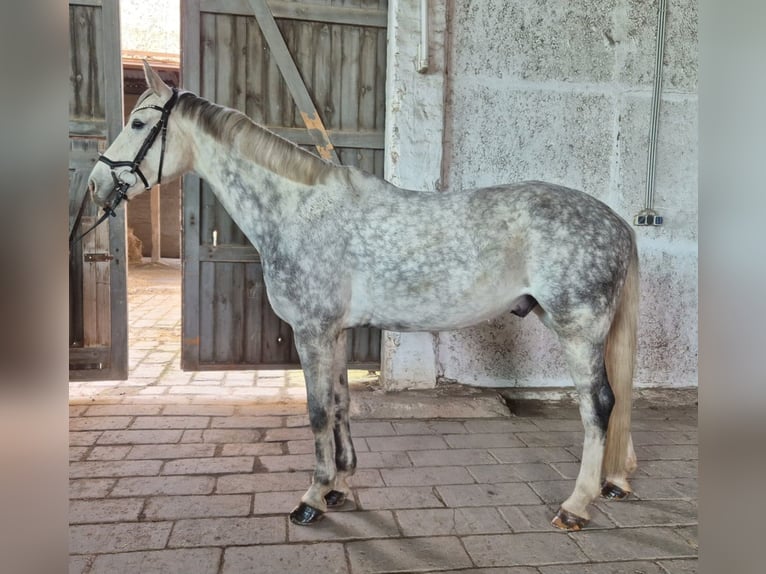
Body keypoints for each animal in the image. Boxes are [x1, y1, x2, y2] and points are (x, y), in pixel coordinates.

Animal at [86, 62, 639, 530]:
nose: (95, 185)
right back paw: (613, 483)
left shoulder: (311, 330)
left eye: (138, 122)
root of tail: (616, 221)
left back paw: (575, 506)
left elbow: (315, 410)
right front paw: (340, 486)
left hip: (578, 330)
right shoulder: (336, 332)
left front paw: (312, 498)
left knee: (598, 405)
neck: (299, 209)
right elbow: (340, 403)